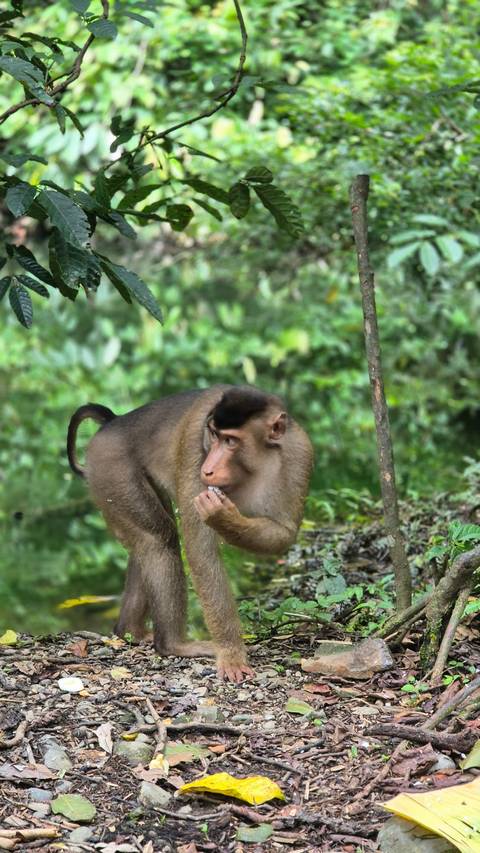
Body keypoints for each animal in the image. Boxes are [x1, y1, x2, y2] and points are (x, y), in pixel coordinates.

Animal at [67, 385, 313, 682]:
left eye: (231, 441)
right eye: (214, 436)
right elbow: (200, 552)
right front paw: (231, 654)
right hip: (111, 467)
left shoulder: (300, 452)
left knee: (148, 540)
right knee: (159, 538)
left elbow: (284, 532)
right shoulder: (195, 444)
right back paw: (173, 645)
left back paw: (130, 631)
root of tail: (114, 423)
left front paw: (224, 517)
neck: (255, 464)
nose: (209, 469)